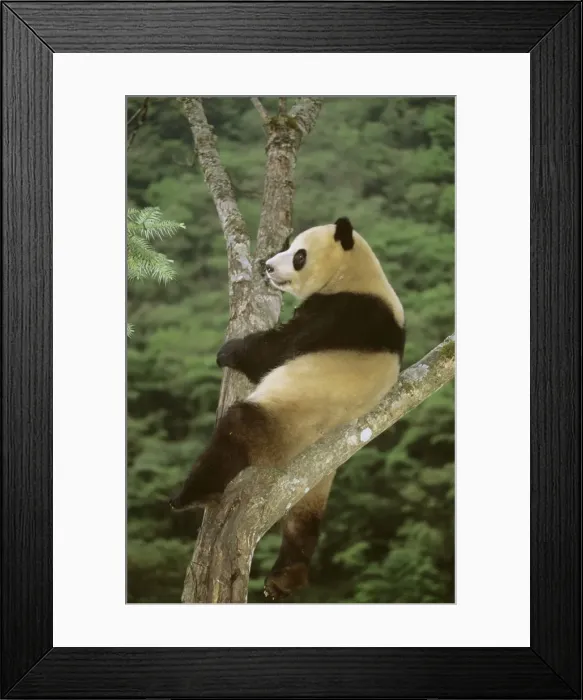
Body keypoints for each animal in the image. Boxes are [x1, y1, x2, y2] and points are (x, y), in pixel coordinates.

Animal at [170, 217, 405, 600]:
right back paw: (286, 579)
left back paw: (192, 494)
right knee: (303, 518)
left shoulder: (340, 312)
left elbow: (275, 350)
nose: (267, 267)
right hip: (315, 474)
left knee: (236, 429)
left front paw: (229, 351)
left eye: (298, 255)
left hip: (283, 422)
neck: (355, 274)